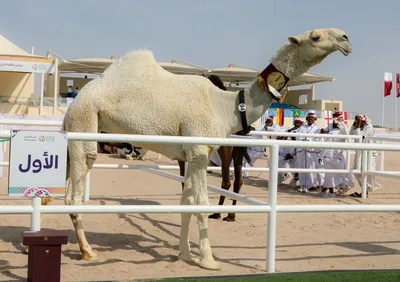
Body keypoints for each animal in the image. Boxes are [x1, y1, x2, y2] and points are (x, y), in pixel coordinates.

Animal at [52, 27, 350, 270]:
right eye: (316, 37)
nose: (346, 38)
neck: (227, 107)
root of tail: (72, 107)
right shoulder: (197, 150)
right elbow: (201, 204)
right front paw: (209, 260)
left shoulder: (192, 155)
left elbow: (186, 203)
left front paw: (185, 254)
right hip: (84, 125)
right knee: (74, 192)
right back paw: (88, 252)